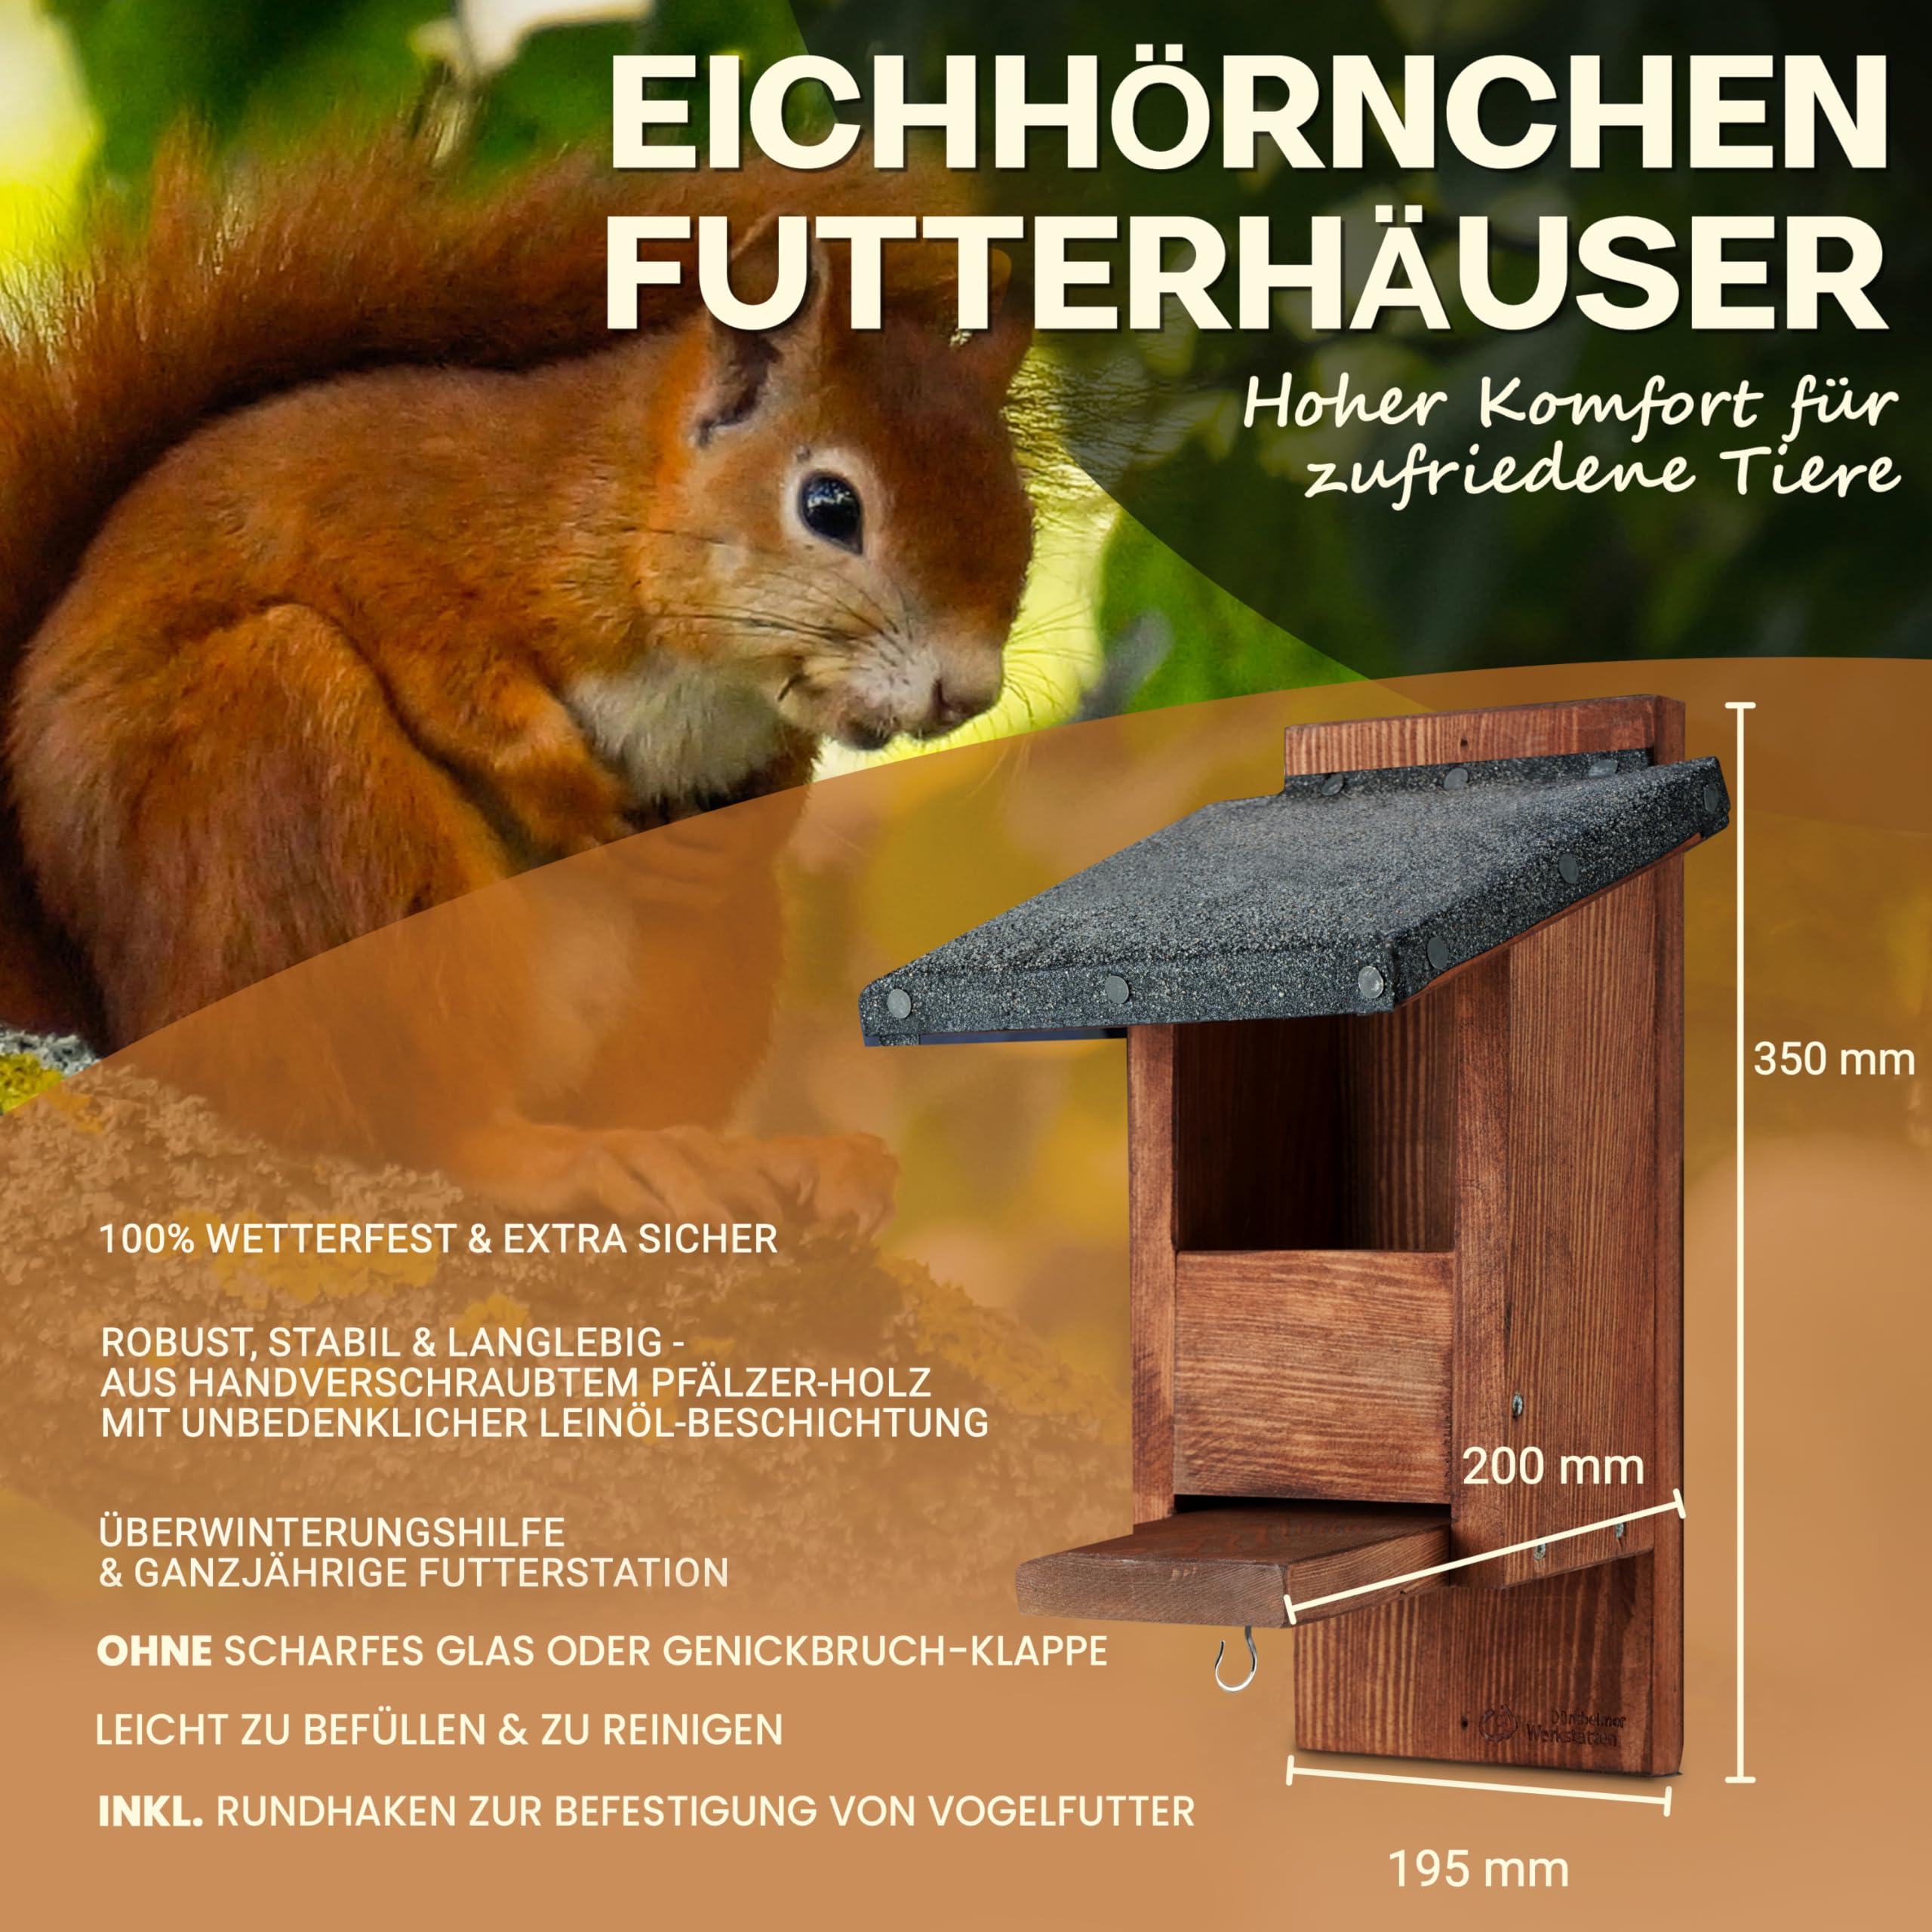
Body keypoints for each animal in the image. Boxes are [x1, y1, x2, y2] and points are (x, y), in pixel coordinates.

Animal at [0, 130, 1034, 1222]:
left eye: (1018, 515)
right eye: (830, 505)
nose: (964, 694)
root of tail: (125, 1023)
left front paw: (733, 828)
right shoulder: (365, 516)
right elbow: (437, 655)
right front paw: (561, 783)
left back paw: (741, 1155)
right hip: (287, 781)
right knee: (401, 1120)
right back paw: (524, 1153)